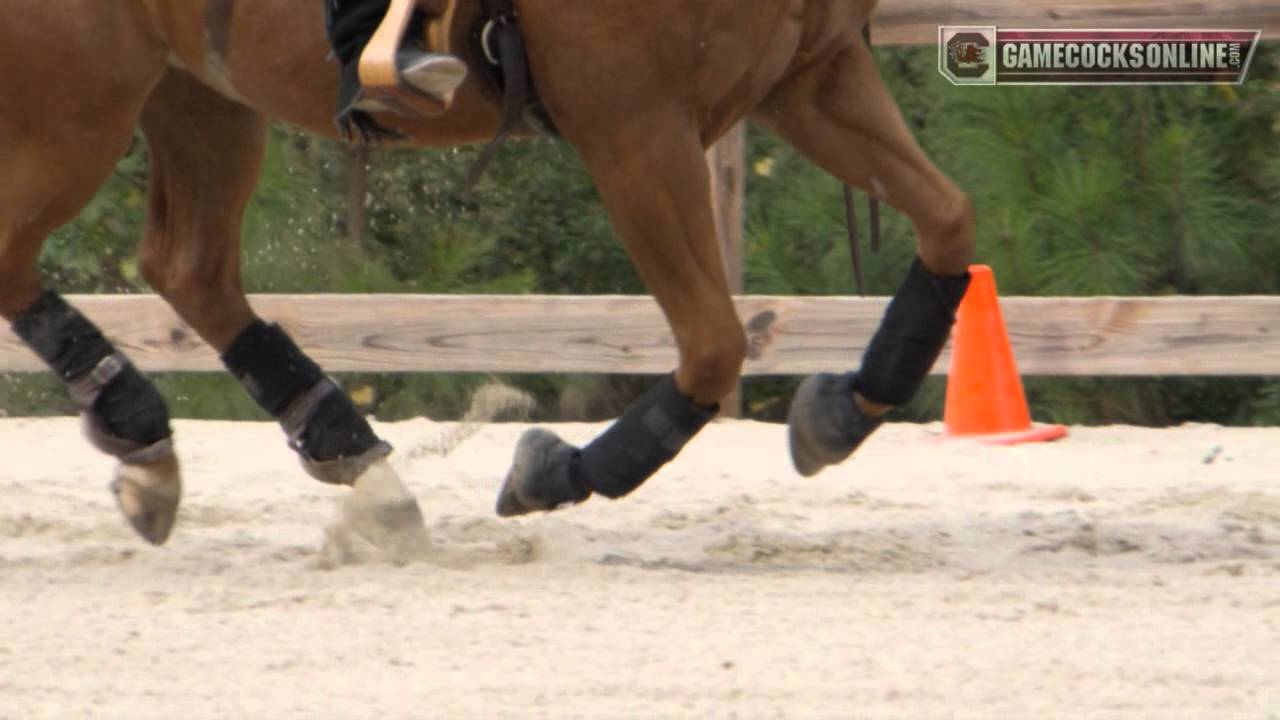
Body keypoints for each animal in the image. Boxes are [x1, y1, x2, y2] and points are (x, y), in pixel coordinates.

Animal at [0, 1, 967, 548]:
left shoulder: (813, 76)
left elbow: (948, 225)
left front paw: (844, 409)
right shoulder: (636, 131)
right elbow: (715, 345)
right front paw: (559, 471)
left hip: (197, 90)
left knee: (188, 267)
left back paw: (326, 453)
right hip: (79, 102)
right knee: (22, 259)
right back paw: (141, 424)